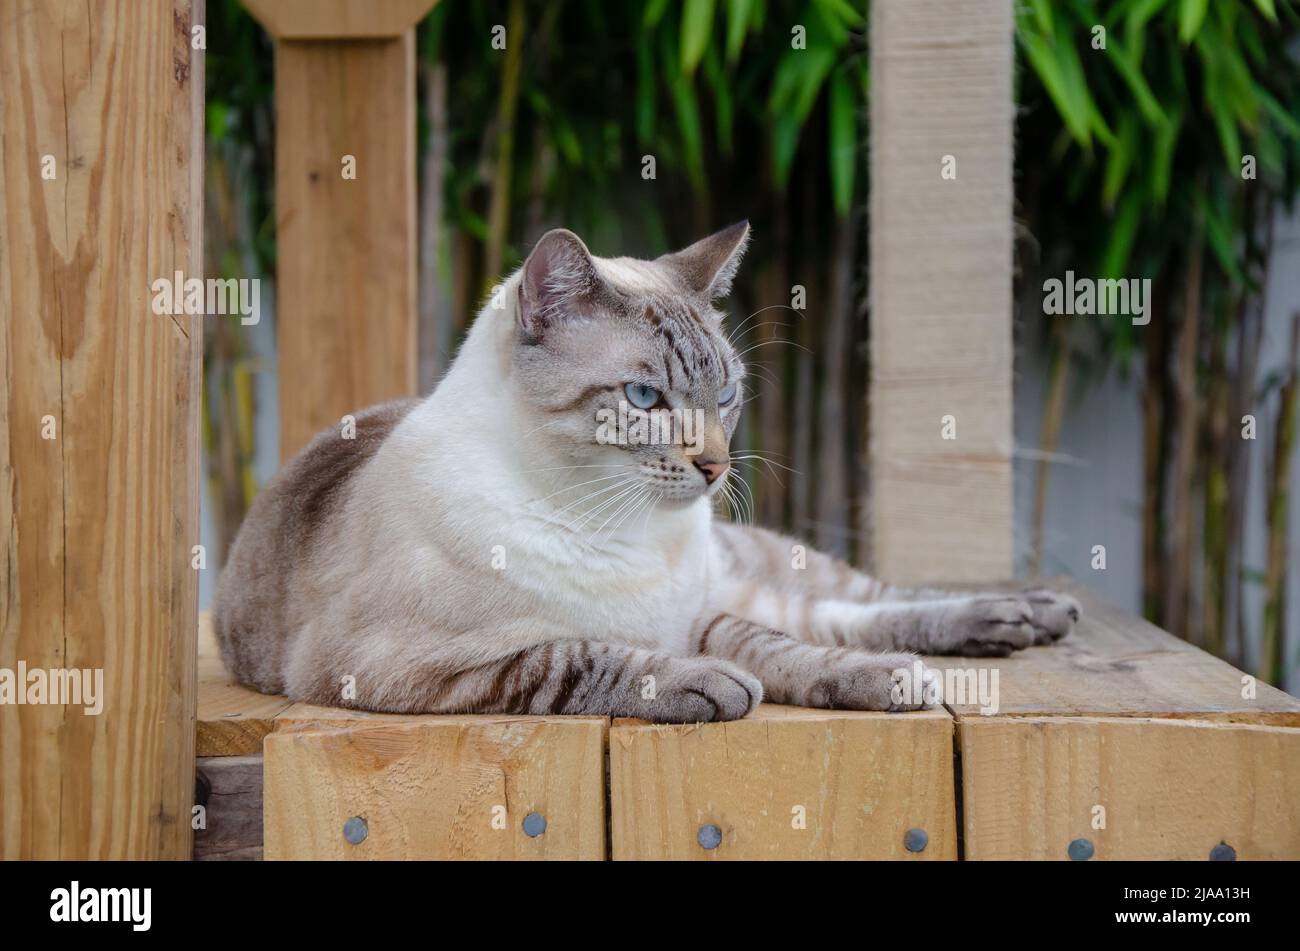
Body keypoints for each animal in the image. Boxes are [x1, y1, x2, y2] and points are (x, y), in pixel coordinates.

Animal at [218, 223, 1081, 722]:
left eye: (725, 392)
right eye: (643, 398)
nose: (716, 464)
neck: (616, 528)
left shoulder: (696, 613)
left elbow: (779, 648)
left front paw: (880, 682)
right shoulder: (405, 665)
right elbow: (581, 654)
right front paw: (713, 687)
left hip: (756, 568)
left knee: (860, 602)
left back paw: (1026, 613)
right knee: (838, 610)